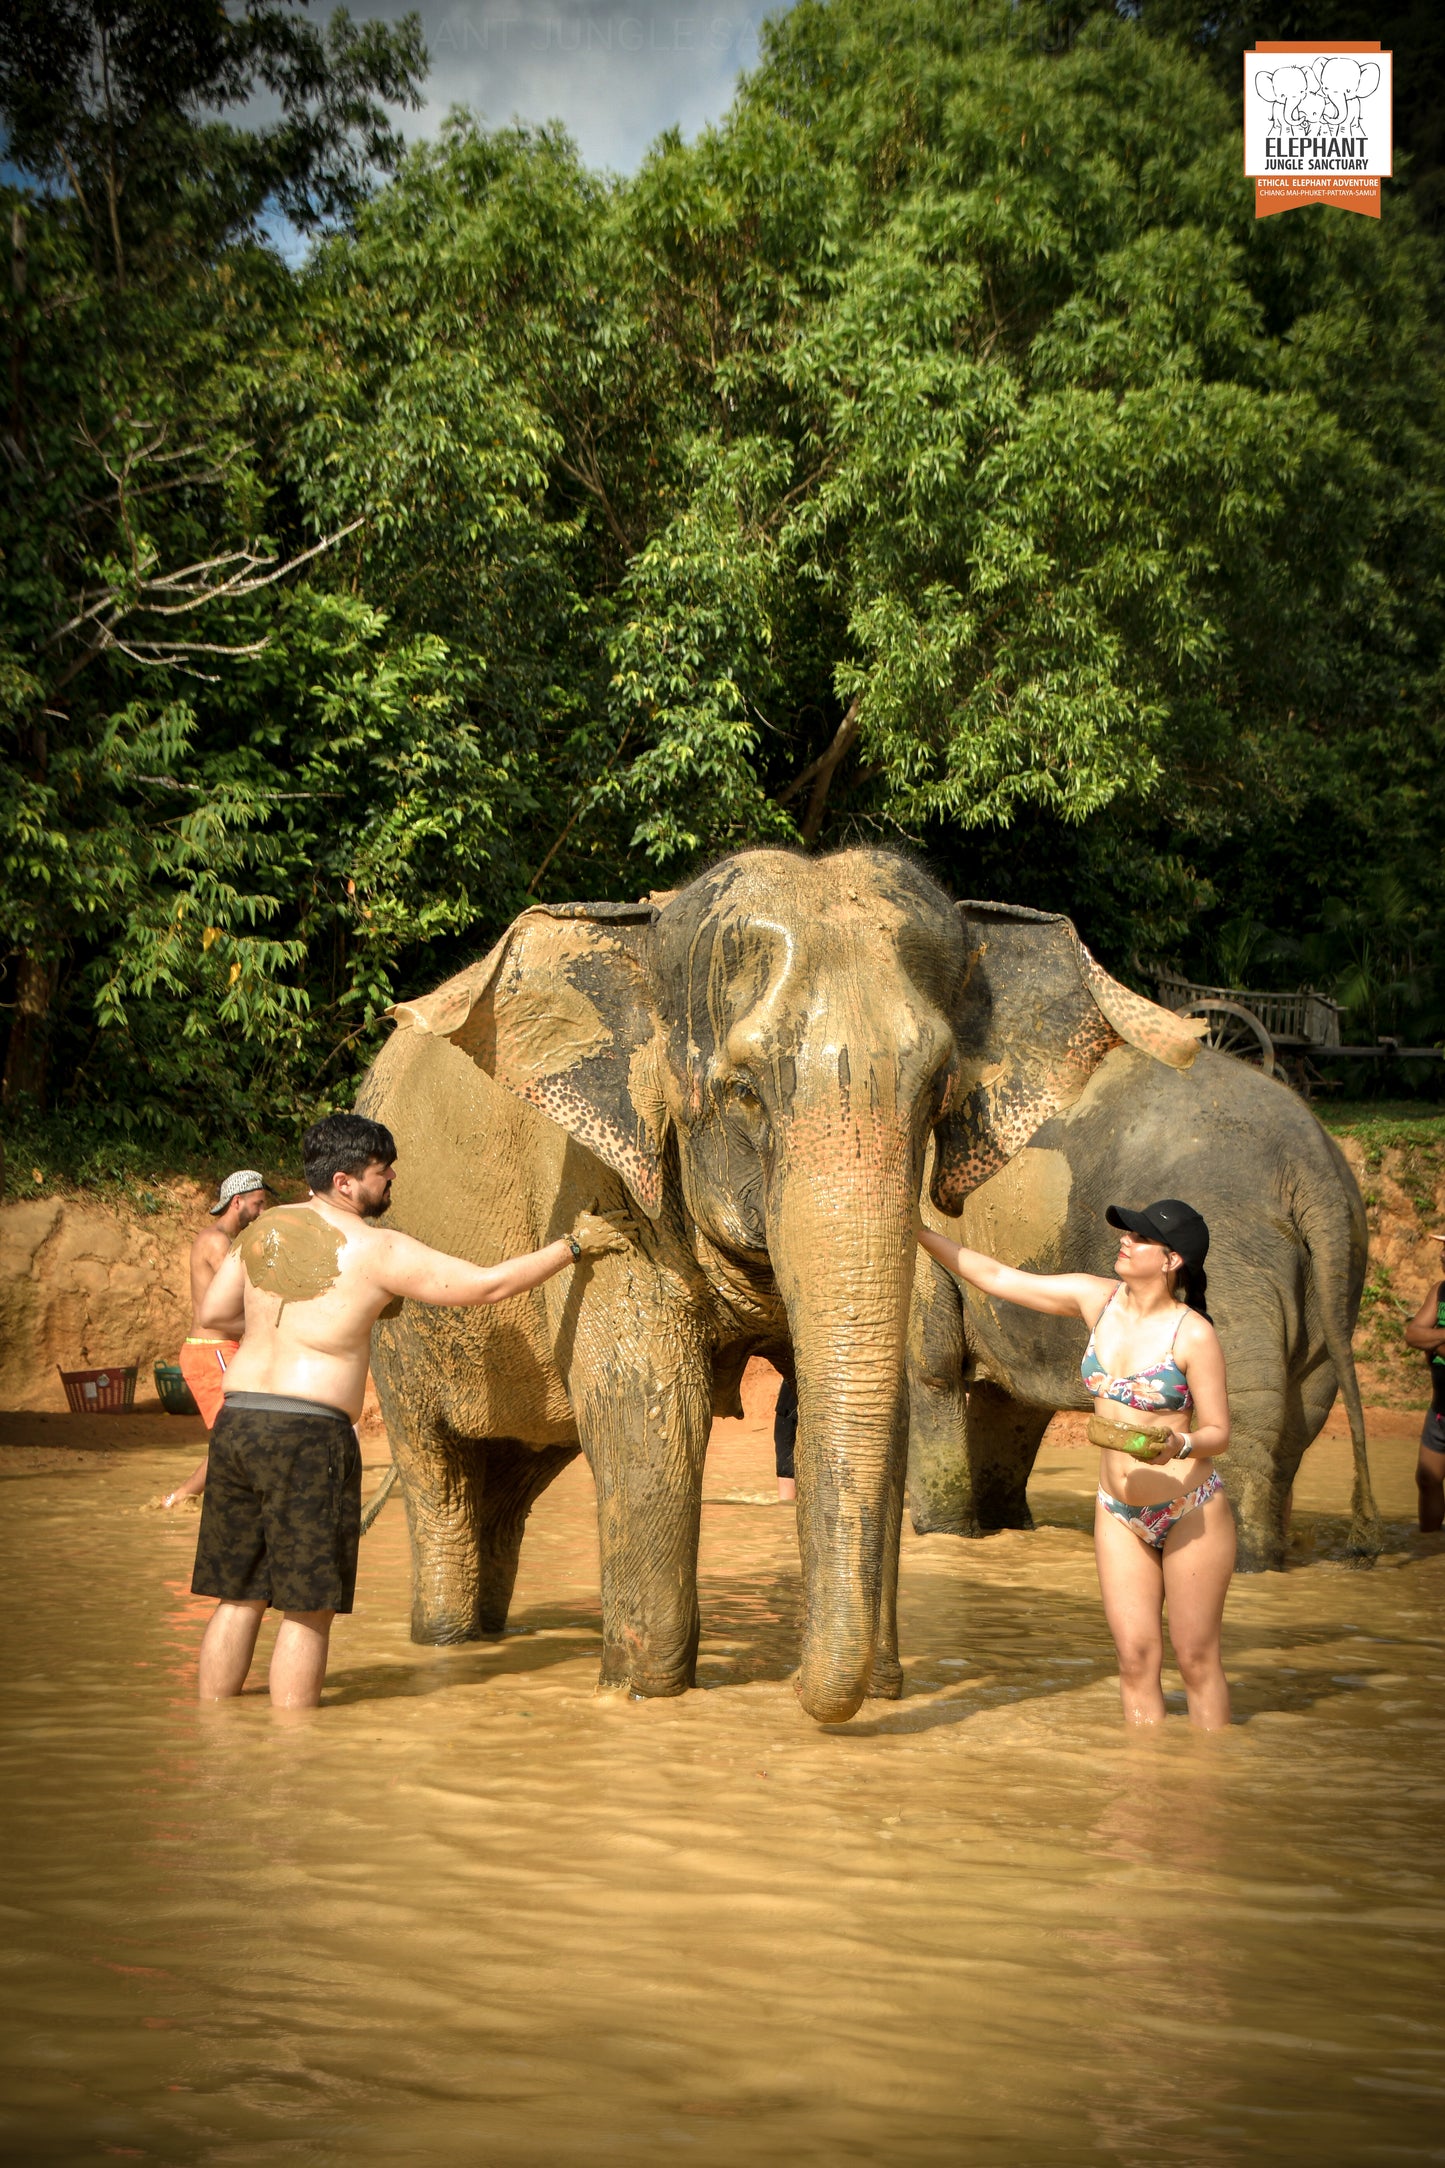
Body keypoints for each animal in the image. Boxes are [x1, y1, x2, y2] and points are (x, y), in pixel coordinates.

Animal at [355, 854, 1204, 1717]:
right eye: (743, 1092)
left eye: (936, 1088)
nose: (796, 1684)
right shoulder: (595, 1175)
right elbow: (650, 1406)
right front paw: (646, 1696)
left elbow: (874, 1406)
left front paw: (880, 1689)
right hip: (399, 1341)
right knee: (440, 1474)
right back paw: (449, 1639)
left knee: (513, 1478)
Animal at [905, 901, 1377, 1578]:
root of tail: (1313, 1168)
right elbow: (1006, 1396)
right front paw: (998, 1532)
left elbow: (935, 1365)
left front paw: (944, 1537)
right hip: (1333, 1279)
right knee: (1301, 1413)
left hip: (1237, 1260)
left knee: (1247, 1409)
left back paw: (1240, 1562)